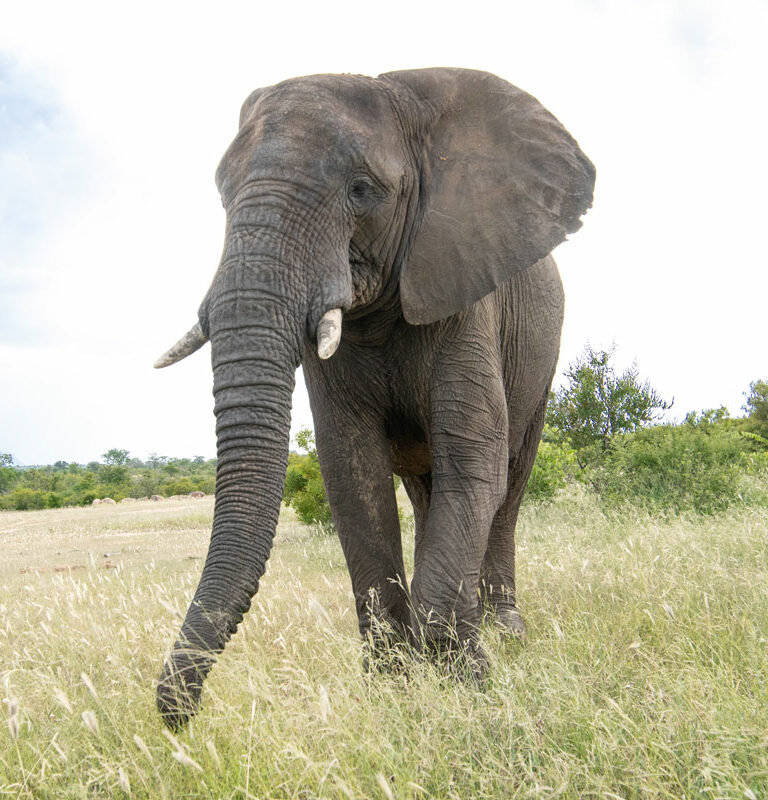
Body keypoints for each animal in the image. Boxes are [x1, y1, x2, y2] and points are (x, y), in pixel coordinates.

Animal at [154, 67, 594, 728]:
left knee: (508, 484)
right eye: (221, 195)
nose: (179, 715)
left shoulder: (467, 291)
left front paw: (470, 681)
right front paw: (395, 685)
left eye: (363, 191)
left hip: (542, 358)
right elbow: (353, 478)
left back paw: (505, 631)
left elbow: (475, 463)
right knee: (428, 490)